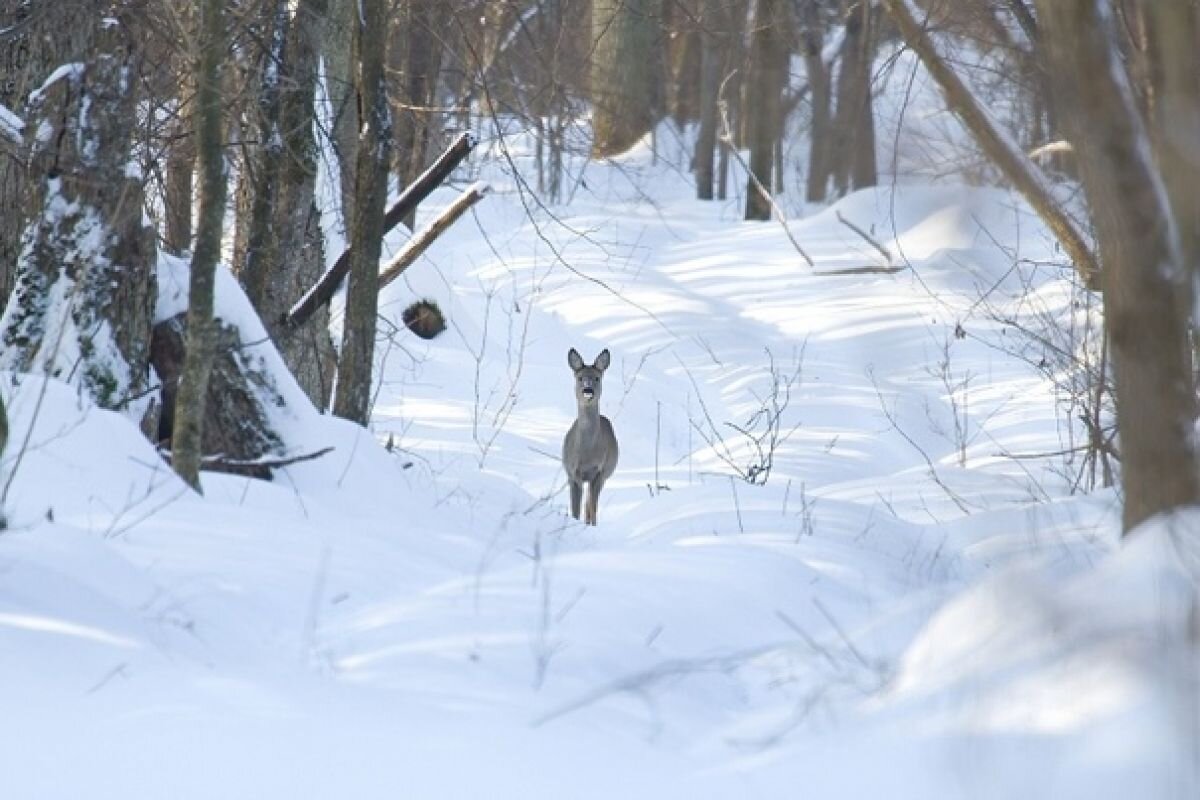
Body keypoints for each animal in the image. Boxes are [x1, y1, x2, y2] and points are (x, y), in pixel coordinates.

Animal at [561, 345, 619, 522]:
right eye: (580, 378)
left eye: (597, 378)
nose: (588, 390)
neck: (587, 452)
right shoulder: (573, 472)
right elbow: (575, 509)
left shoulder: (599, 472)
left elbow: (592, 508)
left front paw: (591, 525)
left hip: (607, 472)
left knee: (589, 505)